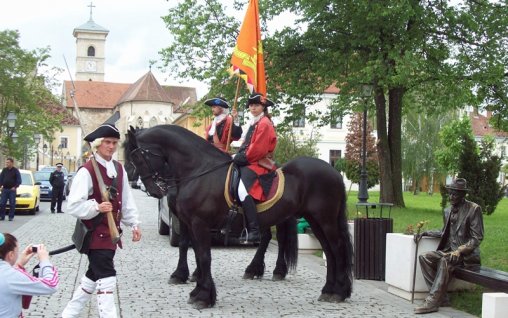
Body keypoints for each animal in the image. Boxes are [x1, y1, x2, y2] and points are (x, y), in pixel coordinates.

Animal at [126, 124, 354, 308]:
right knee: (328, 251)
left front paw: (204, 296)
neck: (200, 170)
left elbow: (204, 256)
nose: (152, 189)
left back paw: (338, 291)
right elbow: (195, 253)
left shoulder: (199, 224)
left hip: (325, 220)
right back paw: (327, 289)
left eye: (136, 156)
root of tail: (333, 171)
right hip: (315, 221)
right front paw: (195, 288)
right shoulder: (189, 223)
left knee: (335, 249)